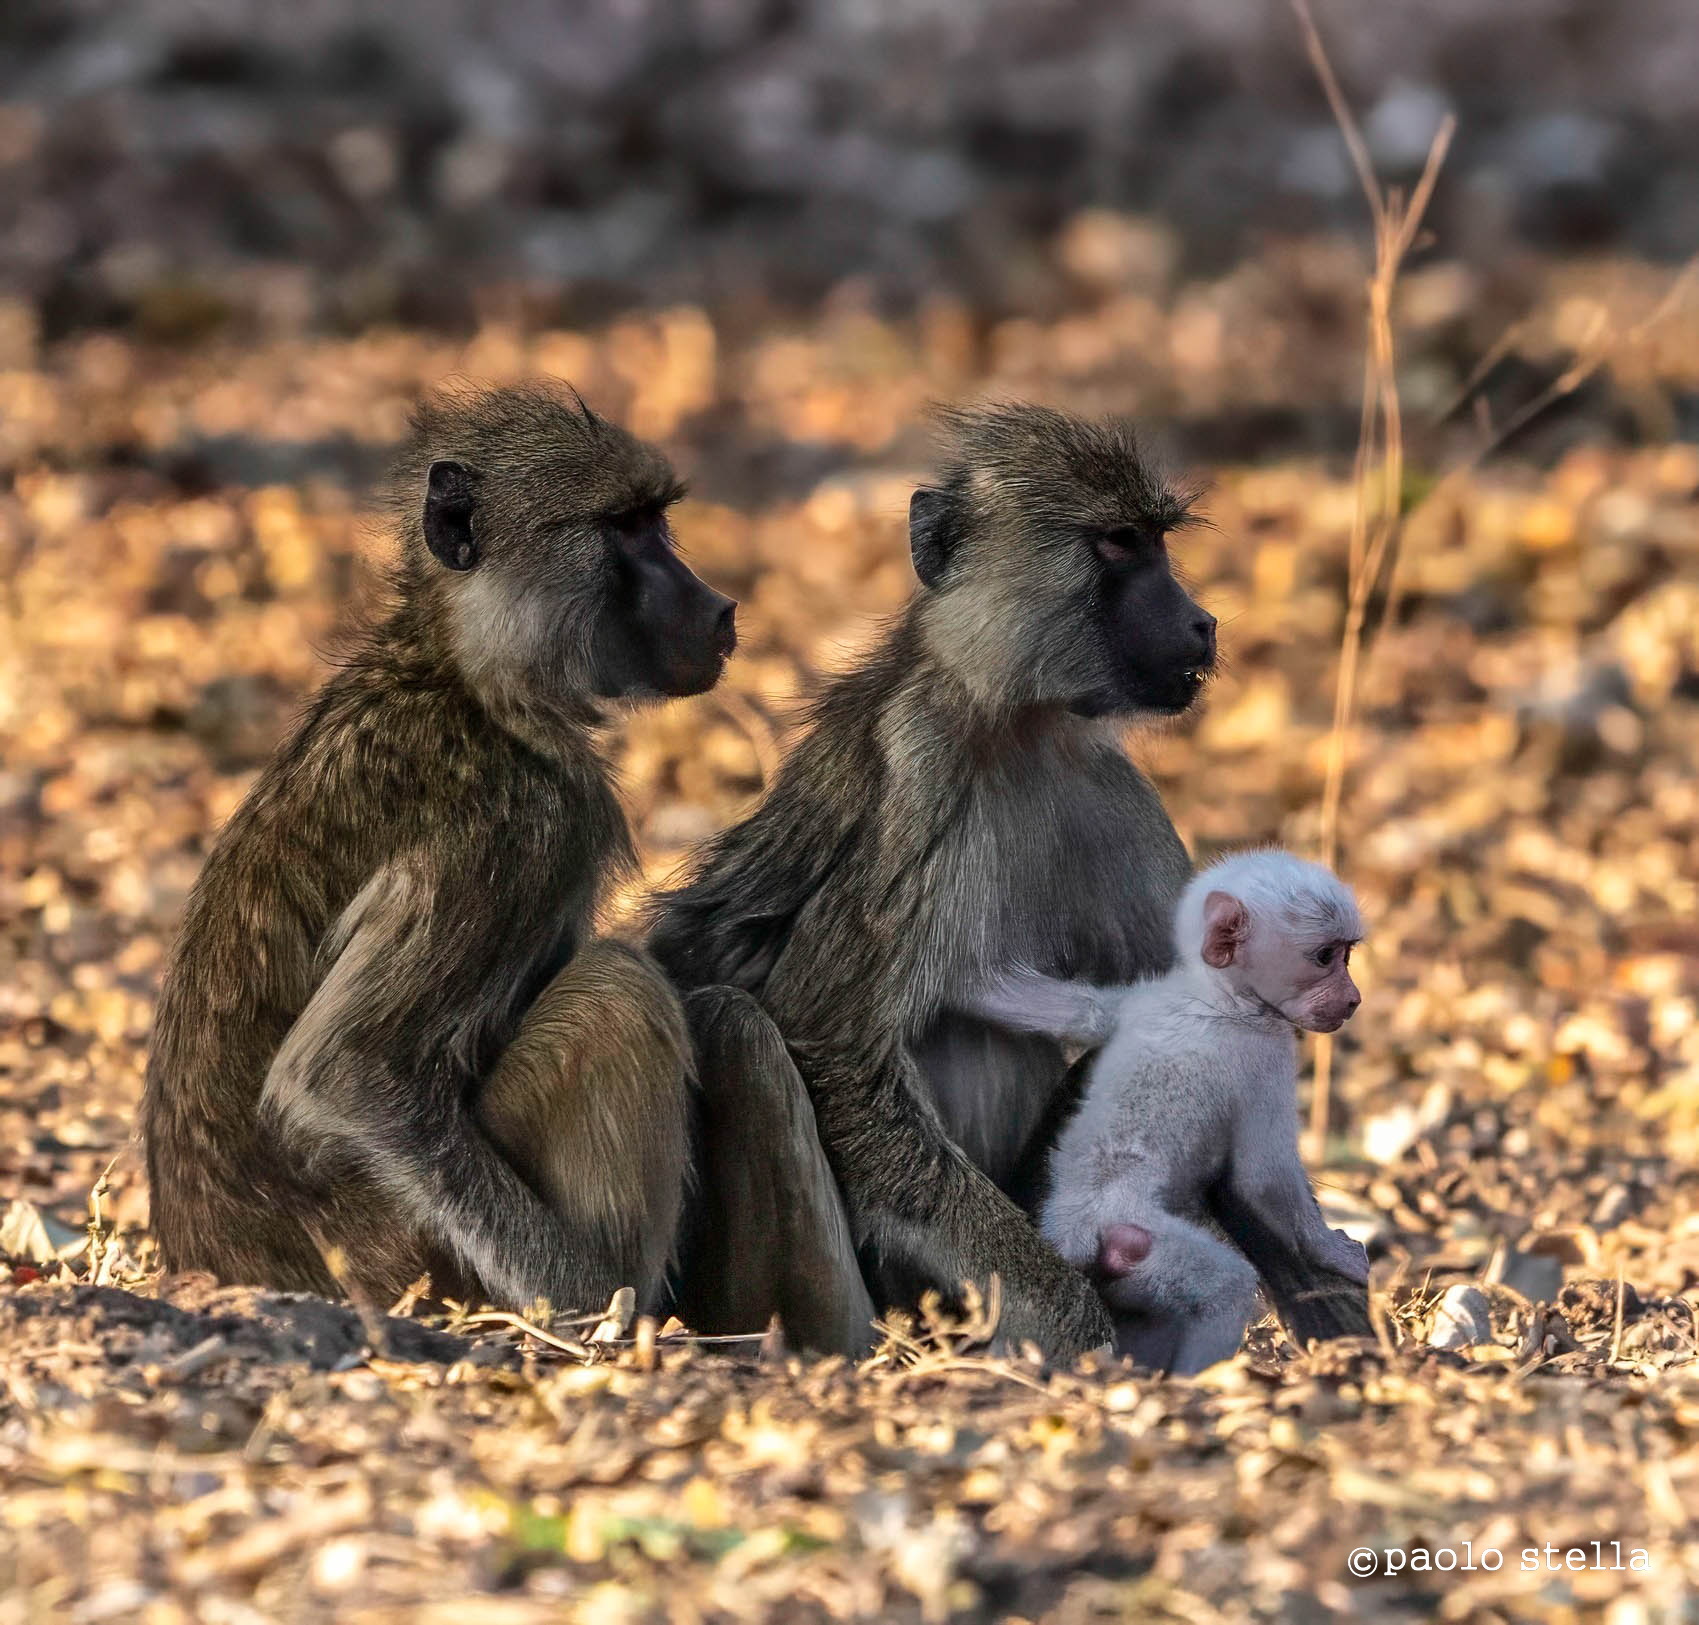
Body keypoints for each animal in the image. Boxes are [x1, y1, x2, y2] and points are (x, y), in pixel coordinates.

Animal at [141, 380, 737, 1318]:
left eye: (656, 520)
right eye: (624, 528)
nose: (717, 608)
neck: (464, 668)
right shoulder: (524, 821)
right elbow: (343, 1074)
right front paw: (596, 1308)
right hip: (407, 1257)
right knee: (615, 990)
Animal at [650, 402, 1227, 1360]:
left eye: (1155, 541)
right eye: (1116, 545)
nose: (1202, 622)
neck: (1009, 717)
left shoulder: (1113, 787)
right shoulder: (919, 768)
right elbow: (838, 1047)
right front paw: (1081, 1329)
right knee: (741, 1030)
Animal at [962, 850, 1372, 1374]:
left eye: (1346, 956)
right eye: (1325, 957)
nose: (1353, 999)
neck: (1213, 996)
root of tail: (1074, 1234)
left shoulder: (1138, 1000)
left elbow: (1065, 1007)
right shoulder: (1269, 1051)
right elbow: (1263, 1178)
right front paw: (1330, 1252)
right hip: (1139, 1239)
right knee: (1227, 1287)